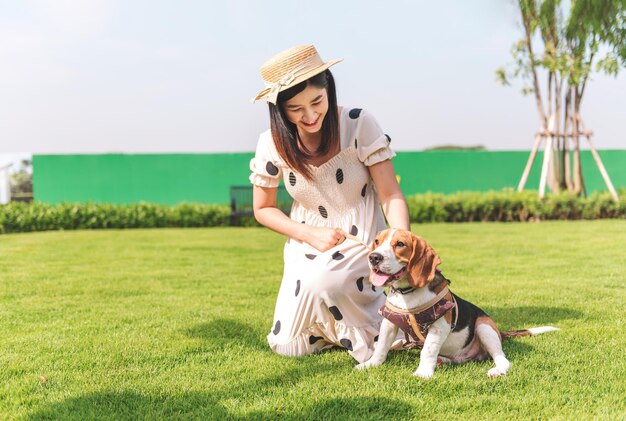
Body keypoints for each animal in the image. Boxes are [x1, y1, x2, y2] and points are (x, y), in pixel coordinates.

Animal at [354, 228, 560, 378]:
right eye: (377, 241)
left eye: (400, 244)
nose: (374, 257)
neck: (408, 292)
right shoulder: (390, 323)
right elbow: (381, 347)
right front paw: (370, 365)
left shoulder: (439, 326)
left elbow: (427, 350)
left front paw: (423, 373)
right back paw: (444, 361)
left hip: (484, 326)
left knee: (501, 357)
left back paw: (497, 370)